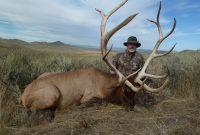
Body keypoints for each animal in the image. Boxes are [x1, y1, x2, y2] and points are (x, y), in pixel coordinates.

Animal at [20, 0, 177, 120]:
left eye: (134, 93)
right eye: (124, 91)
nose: (131, 108)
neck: (105, 85)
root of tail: (23, 95)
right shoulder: (88, 96)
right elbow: (98, 102)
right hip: (52, 93)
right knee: (33, 110)